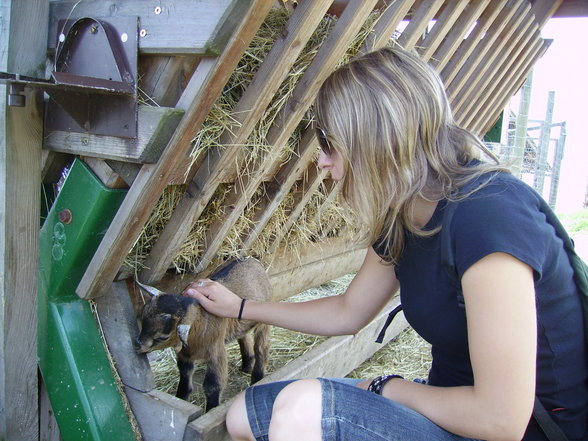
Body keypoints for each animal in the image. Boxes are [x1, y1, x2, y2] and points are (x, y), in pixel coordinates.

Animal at [134, 256, 272, 410]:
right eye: (143, 318)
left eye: (163, 337)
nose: (138, 345)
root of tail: (251, 259)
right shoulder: (185, 354)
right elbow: (184, 373)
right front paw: (181, 397)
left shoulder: (216, 350)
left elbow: (212, 385)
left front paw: (212, 408)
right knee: (243, 336)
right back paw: (247, 365)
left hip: (264, 320)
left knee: (261, 347)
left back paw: (257, 378)